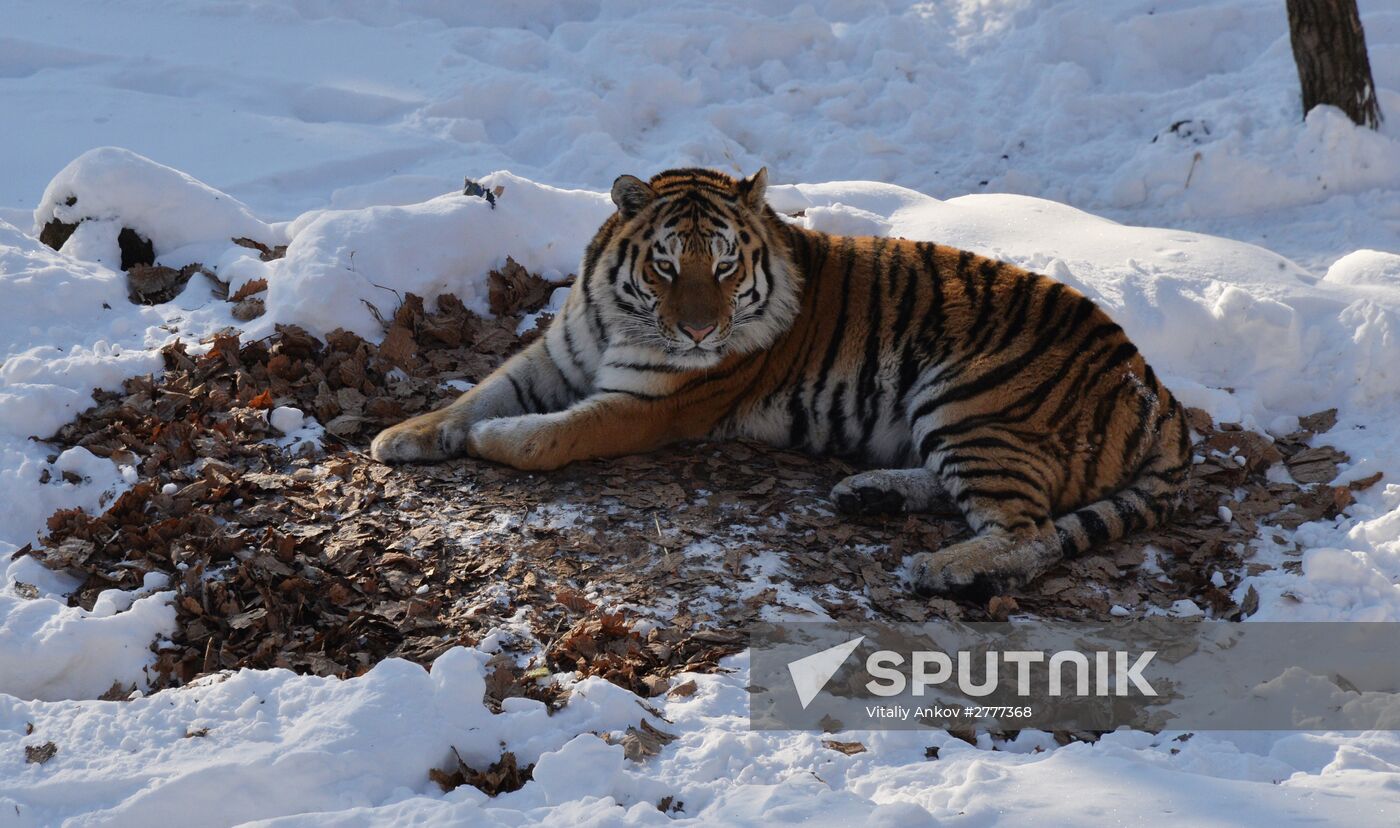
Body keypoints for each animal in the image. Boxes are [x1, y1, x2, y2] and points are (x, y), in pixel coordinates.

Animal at [372, 168, 1192, 599]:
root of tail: (1159, 394)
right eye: (665, 265)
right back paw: (870, 494)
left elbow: (551, 434)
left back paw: (936, 566)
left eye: (725, 265)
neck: (617, 317)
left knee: (1032, 535)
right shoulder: (554, 355)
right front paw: (401, 436)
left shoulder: (647, 405)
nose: (700, 334)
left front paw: (492, 439)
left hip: (971, 398)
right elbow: (479, 389)